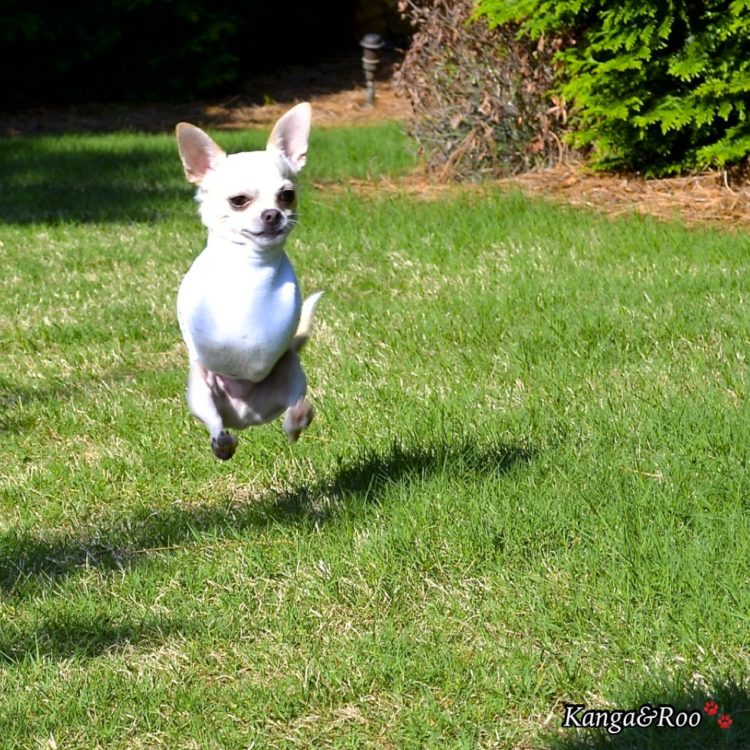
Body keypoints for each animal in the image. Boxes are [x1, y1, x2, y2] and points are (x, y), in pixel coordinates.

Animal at [176, 103, 324, 462]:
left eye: (287, 196)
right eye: (238, 200)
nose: (273, 214)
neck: (249, 262)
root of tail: (246, 417)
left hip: (293, 373)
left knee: (291, 418)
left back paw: (297, 416)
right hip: (200, 390)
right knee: (215, 422)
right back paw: (222, 442)